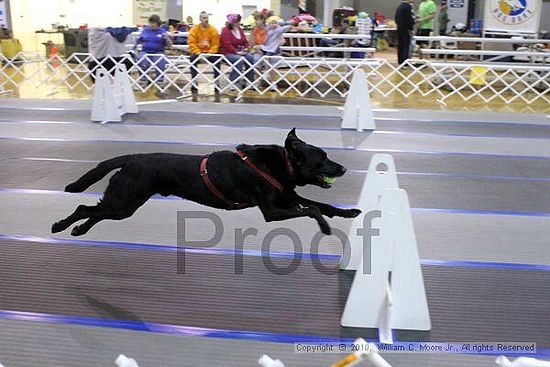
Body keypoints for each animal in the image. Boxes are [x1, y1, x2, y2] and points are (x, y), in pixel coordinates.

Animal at [51, 129, 362, 237]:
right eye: (322, 158)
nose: (344, 168)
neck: (281, 165)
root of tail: (132, 158)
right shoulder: (273, 211)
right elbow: (313, 209)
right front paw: (325, 227)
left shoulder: (287, 197)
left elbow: (321, 204)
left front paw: (349, 212)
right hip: (125, 202)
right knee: (84, 208)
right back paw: (60, 225)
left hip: (122, 203)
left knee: (95, 211)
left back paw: (78, 230)